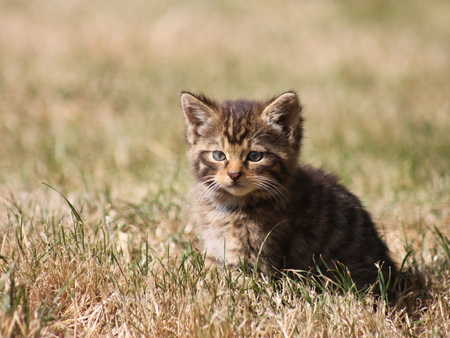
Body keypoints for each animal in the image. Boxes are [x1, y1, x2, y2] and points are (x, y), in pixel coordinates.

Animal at [180, 91, 398, 292]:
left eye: (255, 156)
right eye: (218, 155)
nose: (234, 174)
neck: (229, 206)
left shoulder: (257, 255)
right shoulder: (215, 248)